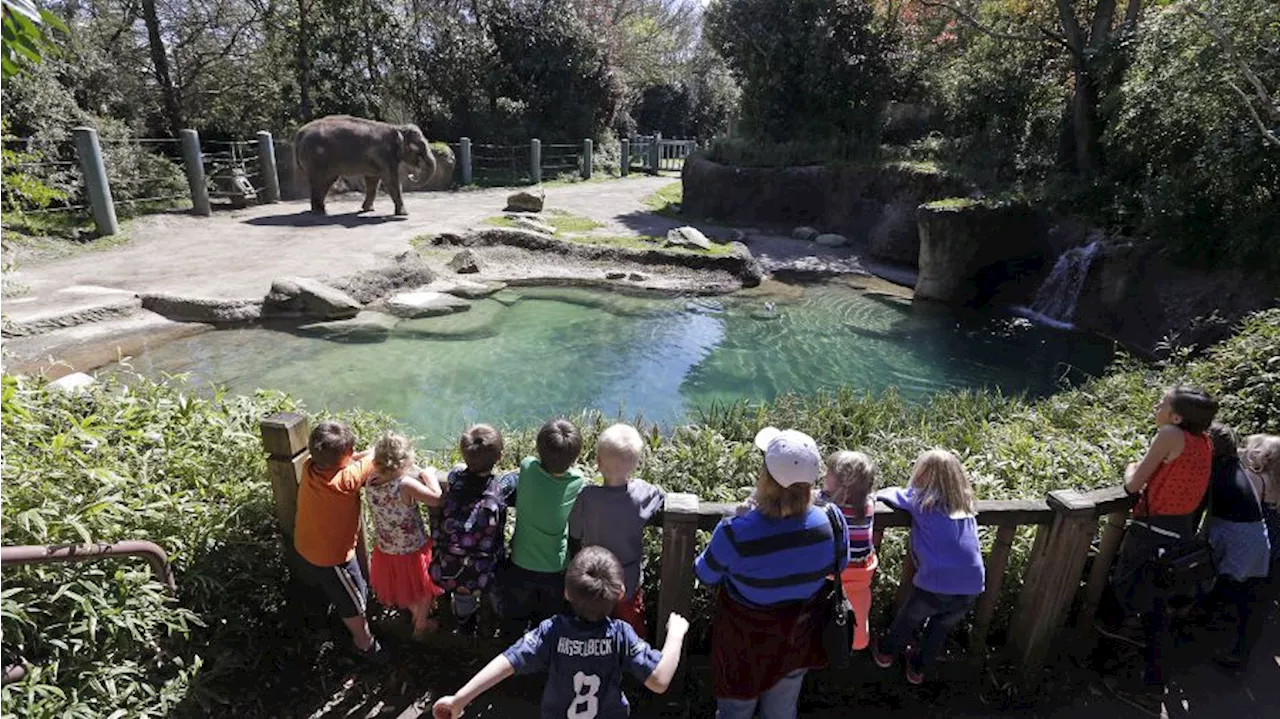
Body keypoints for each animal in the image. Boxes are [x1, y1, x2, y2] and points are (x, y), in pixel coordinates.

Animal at [295, 113, 440, 214]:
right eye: (418, 150)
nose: (412, 176)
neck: (396, 127)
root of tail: (300, 133)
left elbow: (373, 182)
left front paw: (368, 210)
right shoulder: (384, 154)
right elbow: (391, 180)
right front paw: (404, 214)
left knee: (327, 181)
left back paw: (320, 209)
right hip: (315, 157)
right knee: (319, 180)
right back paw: (319, 211)